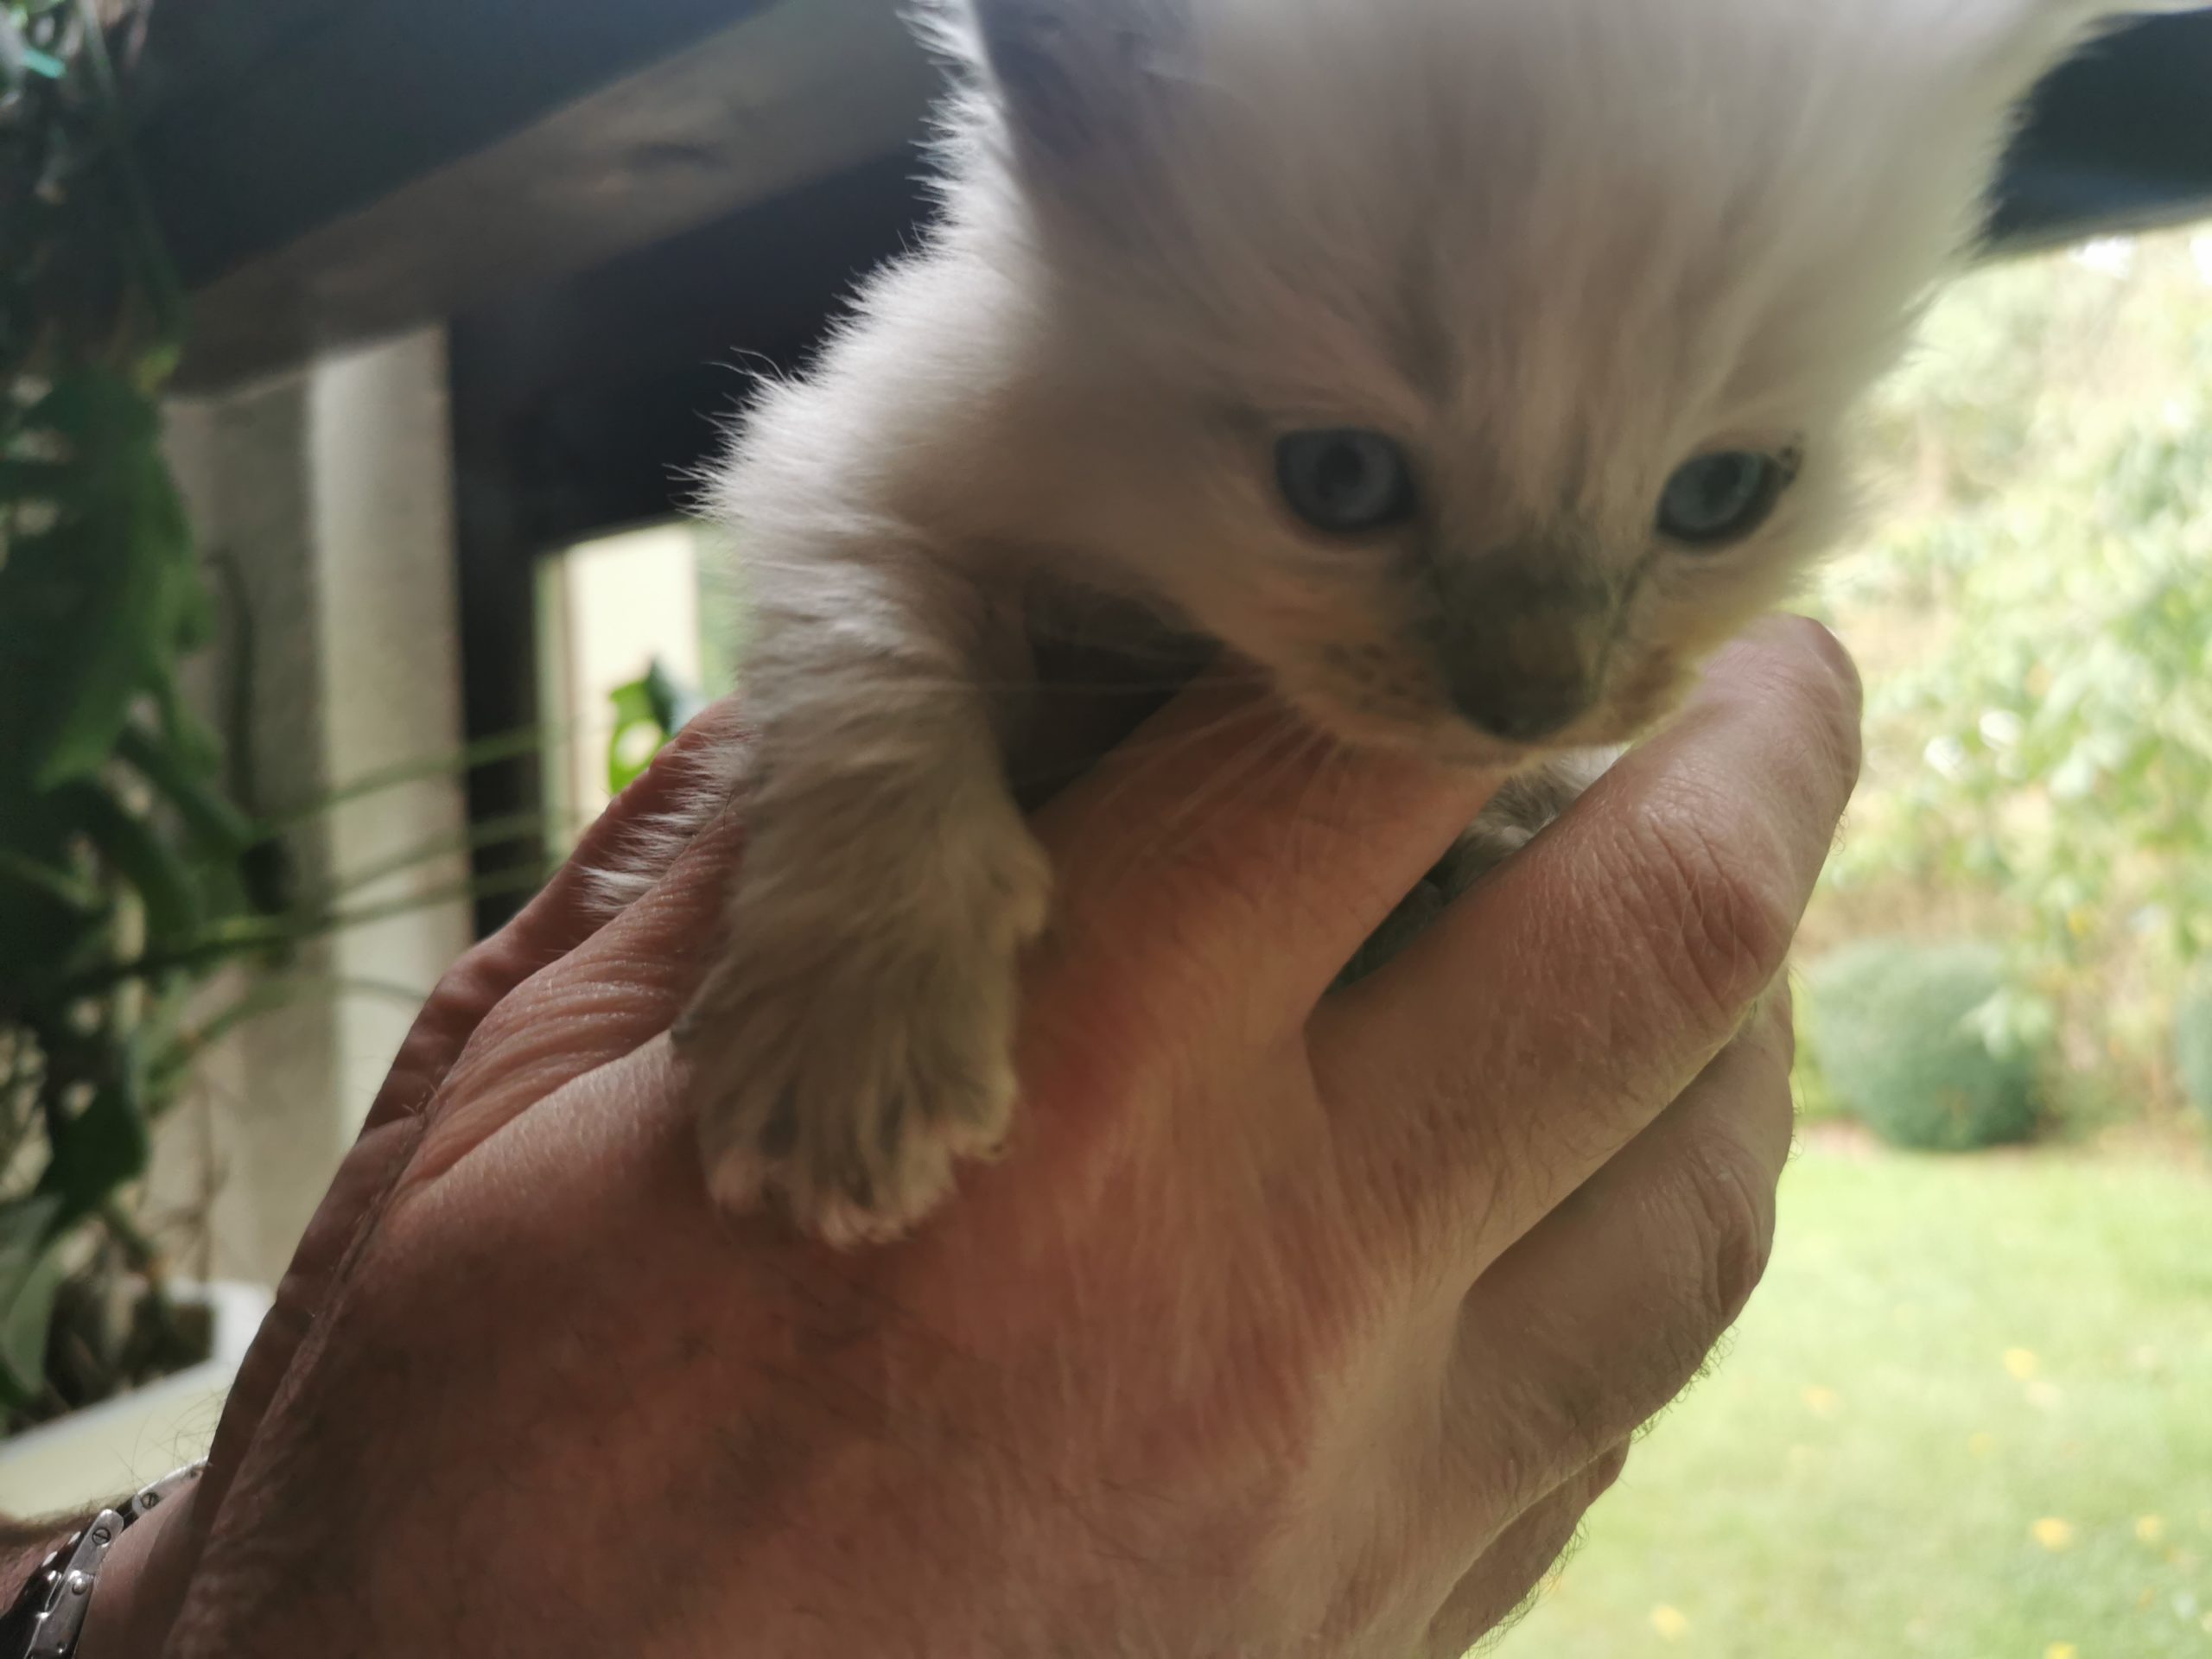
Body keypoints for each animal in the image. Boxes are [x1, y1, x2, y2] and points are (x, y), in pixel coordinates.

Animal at [668, 0, 2170, 1246]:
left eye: (1719, 496)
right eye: (1339, 480)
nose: (1533, 703)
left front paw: (1509, 827)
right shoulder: (842, 454)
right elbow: (871, 670)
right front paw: (856, 1022)